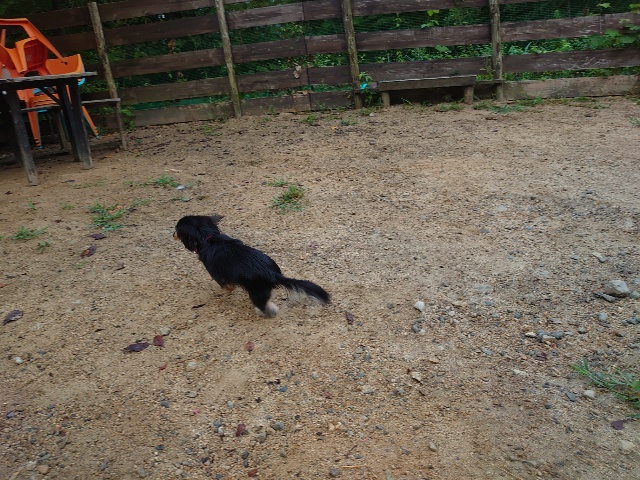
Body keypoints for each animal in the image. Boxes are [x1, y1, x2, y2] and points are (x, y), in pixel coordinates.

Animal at [173, 215, 330, 317]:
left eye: (176, 230)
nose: (172, 234)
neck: (207, 237)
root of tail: (271, 273)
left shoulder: (219, 276)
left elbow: (227, 287)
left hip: (256, 293)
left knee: (265, 306)